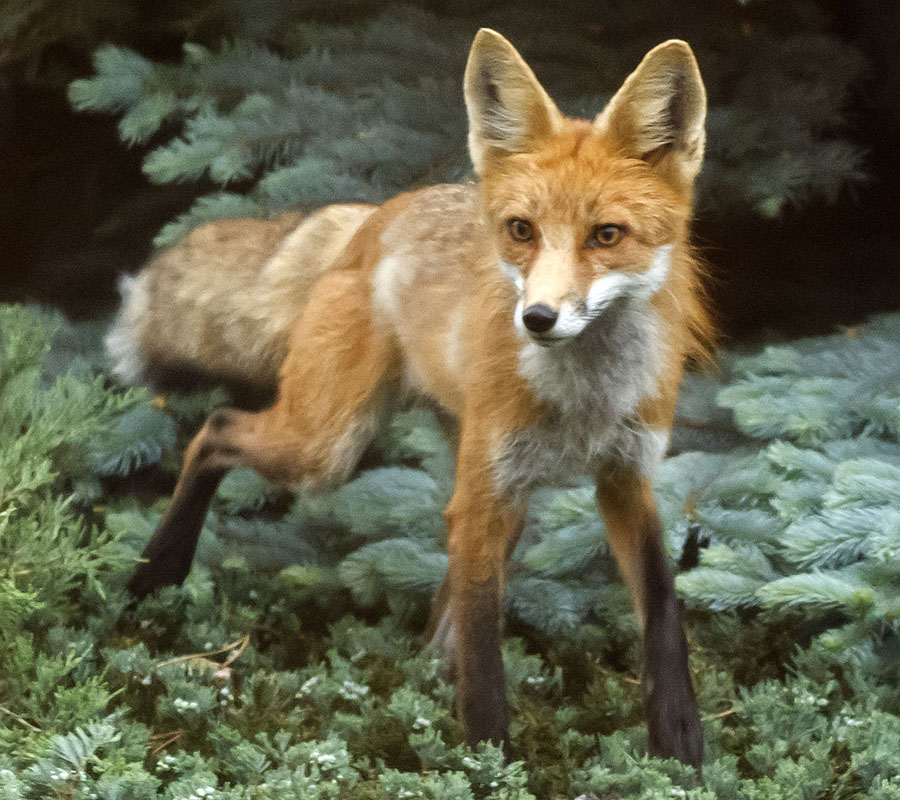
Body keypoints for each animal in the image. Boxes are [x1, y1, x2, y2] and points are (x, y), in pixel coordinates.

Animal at [112, 29, 712, 768]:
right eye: (521, 230)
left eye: (607, 236)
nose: (537, 319)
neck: (586, 404)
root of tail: (377, 215)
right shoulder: (488, 496)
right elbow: (486, 659)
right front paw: (490, 765)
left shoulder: (626, 478)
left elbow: (663, 609)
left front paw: (680, 749)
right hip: (329, 446)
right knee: (216, 428)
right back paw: (156, 578)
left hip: (490, 481)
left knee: (446, 586)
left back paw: (425, 671)